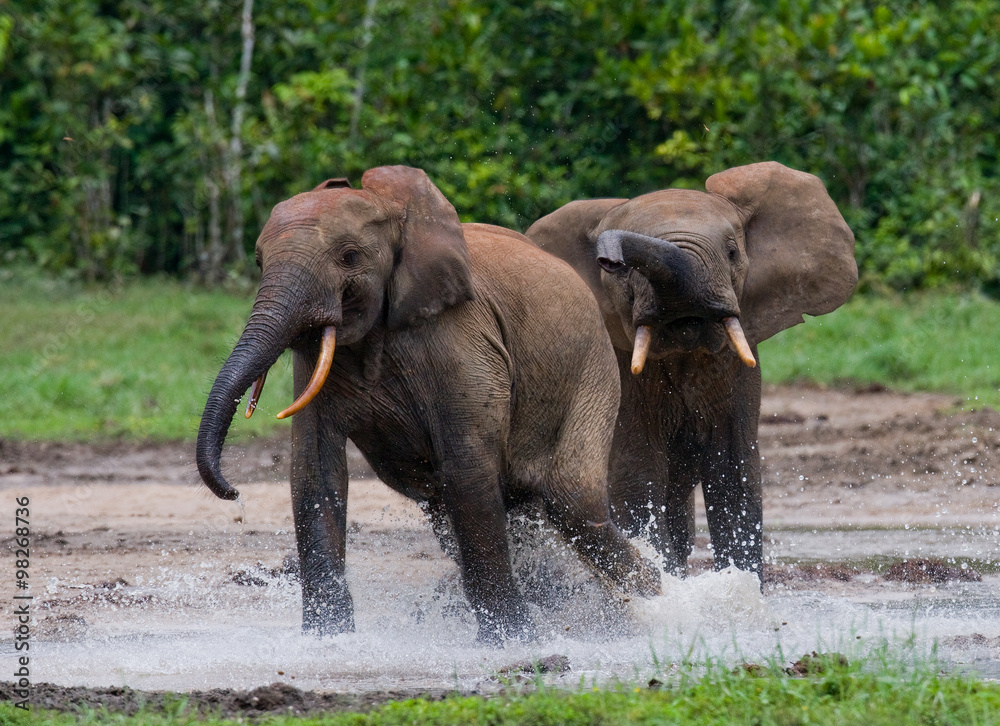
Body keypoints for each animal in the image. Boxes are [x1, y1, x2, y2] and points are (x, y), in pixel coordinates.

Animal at [196, 165, 660, 645]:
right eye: (259, 263)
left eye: (349, 256)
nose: (233, 492)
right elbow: (315, 470)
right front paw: (327, 639)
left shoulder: (459, 337)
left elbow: (467, 468)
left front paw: (510, 641)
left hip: (594, 373)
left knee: (572, 501)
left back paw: (655, 600)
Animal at [526, 161, 857, 579]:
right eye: (620, 273)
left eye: (732, 253)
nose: (610, 258)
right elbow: (637, 473)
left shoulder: (737, 368)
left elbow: (734, 473)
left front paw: (741, 588)